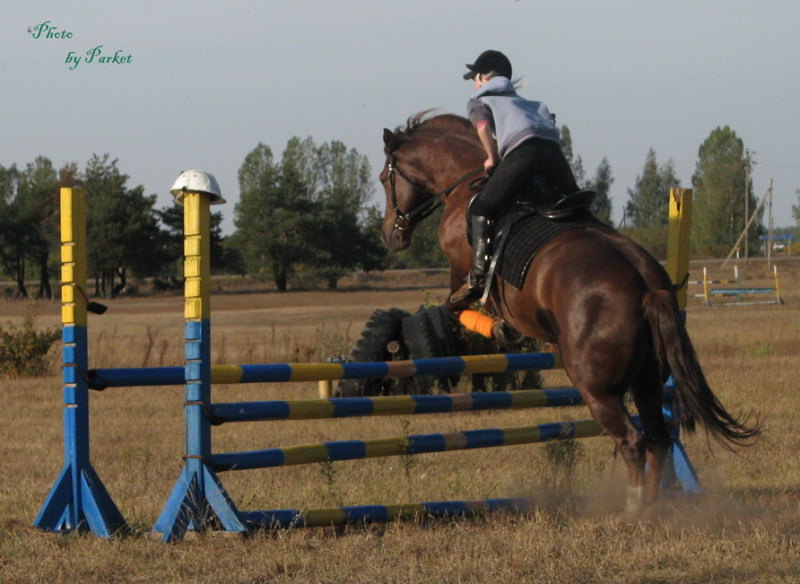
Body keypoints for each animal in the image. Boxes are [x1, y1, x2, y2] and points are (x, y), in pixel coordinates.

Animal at [378, 110, 760, 512]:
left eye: (384, 178)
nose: (389, 235)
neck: (466, 180)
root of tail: (647, 288)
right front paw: (504, 330)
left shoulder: (461, 277)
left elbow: (454, 307)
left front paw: (498, 329)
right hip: (647, 381)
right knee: (658, 438)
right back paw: (652, 506)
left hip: (596, 387)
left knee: (633, 441)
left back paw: (632, 509)